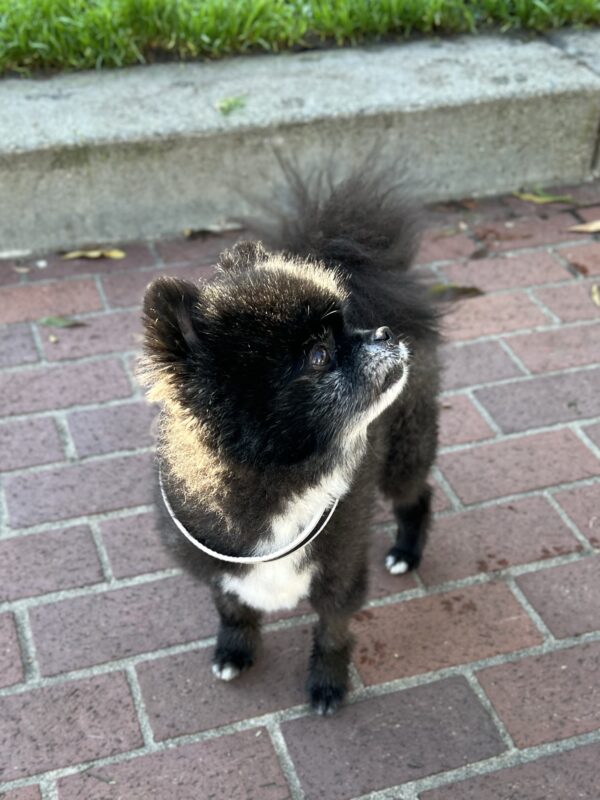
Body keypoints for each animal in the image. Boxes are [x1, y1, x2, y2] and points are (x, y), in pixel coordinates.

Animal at [139, 159, 440, 716]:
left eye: (350, 326)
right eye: (319, 355)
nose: (383, 333)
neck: (281, 484)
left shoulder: (341, 574)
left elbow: (333, 632)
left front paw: (326, 683)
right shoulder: (218, 569)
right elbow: (233, 609)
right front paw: (235, 649)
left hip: (405, 452)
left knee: (418, 495)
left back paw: (407, 552)